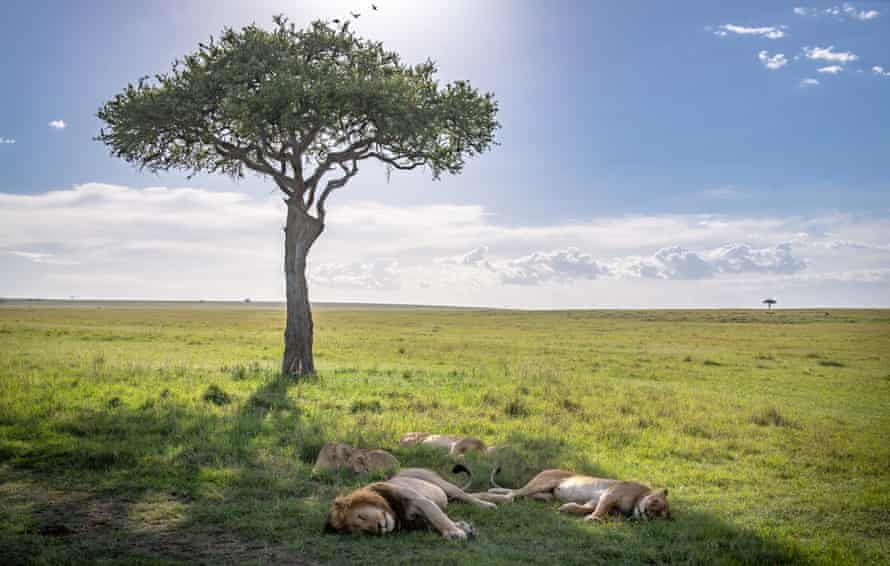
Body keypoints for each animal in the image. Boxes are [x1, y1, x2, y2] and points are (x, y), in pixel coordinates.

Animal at [322, 468, 496, 544]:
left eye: (361, 516)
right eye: (365, 532)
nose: (379, 528)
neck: (394, 511)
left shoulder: (422, 500)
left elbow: (438, 517)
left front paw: (455, 533)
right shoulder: (419, 522)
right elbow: (439, 520)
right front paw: (463, 527)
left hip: (442, 484)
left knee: (467, 495)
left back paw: (489, 505)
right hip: (449, 495)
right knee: (472, 495)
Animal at [476, 470, 668, 524]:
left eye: (660, 514)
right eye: (655, 502)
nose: (648, 512)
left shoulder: (595, 500)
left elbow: (586, 508)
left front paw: (567, 508)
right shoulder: (610, 493)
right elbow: (600, 510)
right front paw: (593, 519)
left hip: (546, 493)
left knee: (516, 493)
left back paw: (493, 492)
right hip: (543, 482)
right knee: (513, 495)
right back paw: (490, 496)